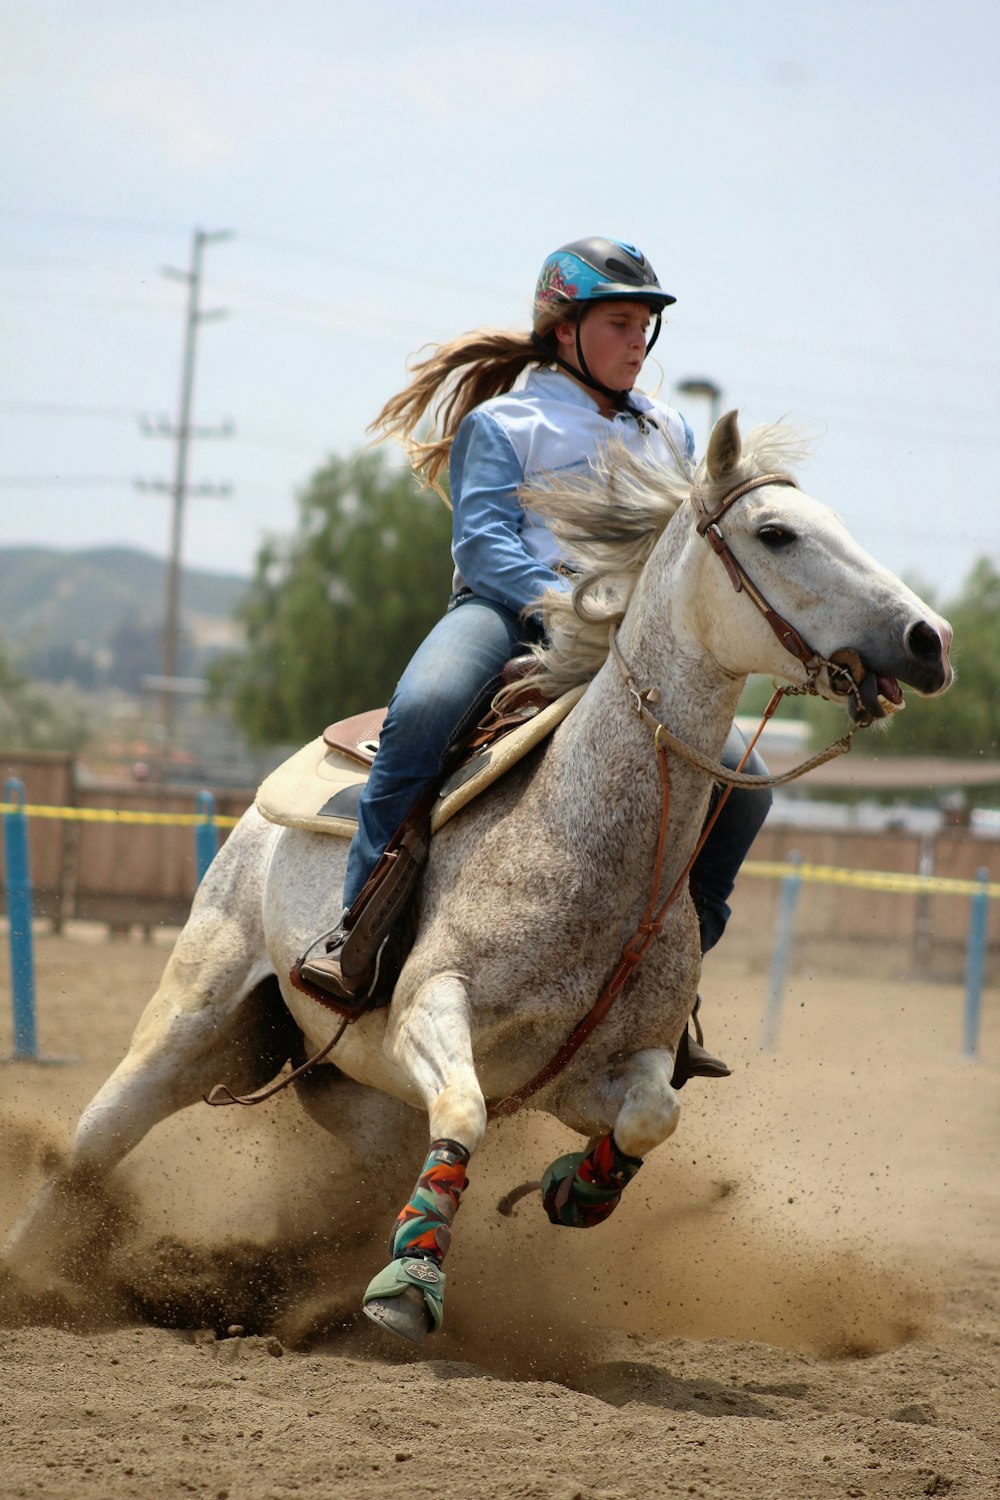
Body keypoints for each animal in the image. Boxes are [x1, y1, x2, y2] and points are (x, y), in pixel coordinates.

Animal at [5, 414, 953, 1350]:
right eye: (776, 533)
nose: (929, 639)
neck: (587, 847)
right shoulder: (431, 1006)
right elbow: (463, 1112)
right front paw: (410, 1282)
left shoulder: (604, 1070)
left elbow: (652, 1116)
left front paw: (578, 1187)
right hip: (192, 1018)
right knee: (93, 1148)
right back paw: (32, 1278)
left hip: (352, 1091)